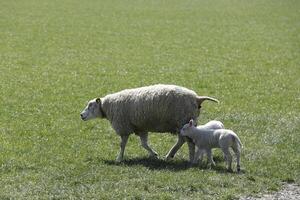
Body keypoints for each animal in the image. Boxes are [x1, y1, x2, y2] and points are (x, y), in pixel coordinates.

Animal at [79, 83, 218, 162]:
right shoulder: (141, 128)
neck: (107, 107)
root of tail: (197, 98)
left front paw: (119, 159)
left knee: (189, 142)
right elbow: (144, 144)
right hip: (182, 123)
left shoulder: (124, 127)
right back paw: (169, 156)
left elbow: (122, 145)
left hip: (183, 120)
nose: (81, 115)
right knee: (182, 140)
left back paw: (191, 159)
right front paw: (154, 154)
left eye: (90, 105)